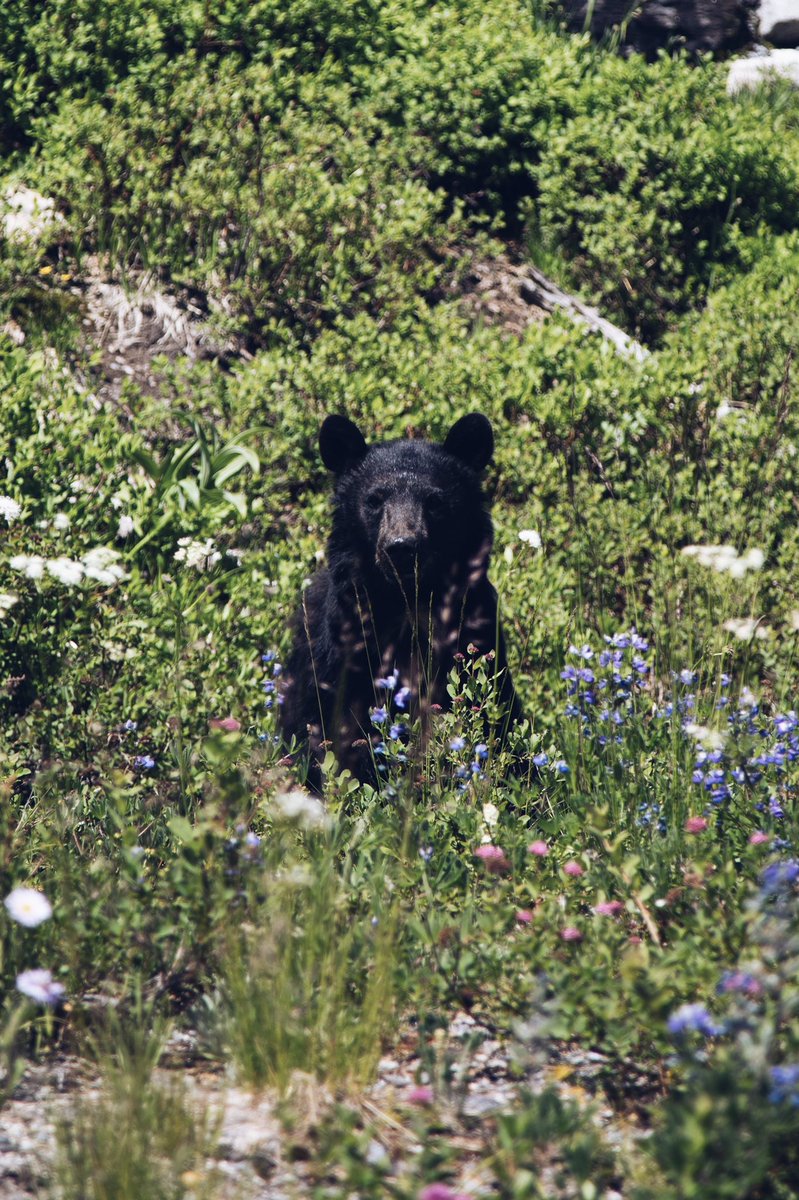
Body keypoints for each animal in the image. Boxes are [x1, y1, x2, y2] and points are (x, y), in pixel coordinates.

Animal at [279, 412, 522, 791]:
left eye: (435, 501)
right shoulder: (343, 651)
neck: (406, 604)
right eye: (374, 499)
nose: (401, 547)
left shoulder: (474, 633)